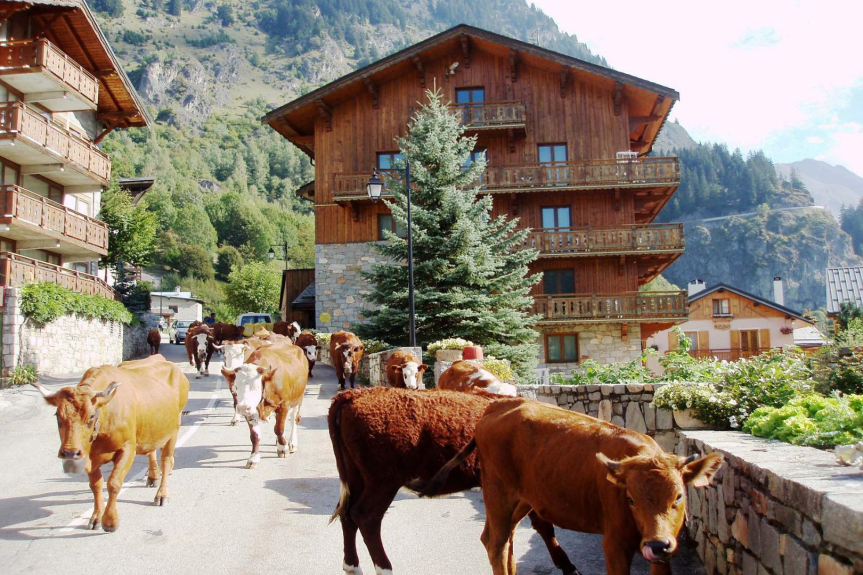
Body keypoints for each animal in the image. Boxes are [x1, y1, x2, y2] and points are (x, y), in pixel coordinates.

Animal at [31, 354, 189, 533]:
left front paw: (110, 521)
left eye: (91, 416)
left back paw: (162, 494)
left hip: (174, 427)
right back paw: (153, 476)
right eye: (57, 415)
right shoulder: (89, 457)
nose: (70, 453)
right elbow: (96, 485)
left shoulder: (128, 448)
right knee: (151, 451)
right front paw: (96, 517)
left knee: (167, 461)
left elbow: (113, 482)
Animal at [328, 388, 577, 575]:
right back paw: (385, 568)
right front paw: (568, 566)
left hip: (357, 479)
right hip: (383, 482)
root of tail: (355, 393)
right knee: (366, 517)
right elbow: (544, 527)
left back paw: (352, 566)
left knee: (347, 514)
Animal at [423, 399, 723, 575]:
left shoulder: (664, 552)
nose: (657, 544)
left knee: (505, 540)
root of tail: (499, 406)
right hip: (499, 494)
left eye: (679, 496)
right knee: (496, 544)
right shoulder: (614, 544)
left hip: (522, 500)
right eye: (630, 499)